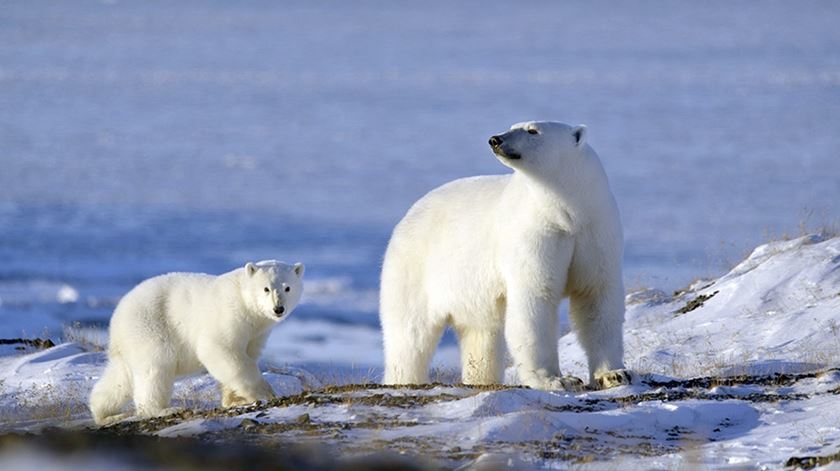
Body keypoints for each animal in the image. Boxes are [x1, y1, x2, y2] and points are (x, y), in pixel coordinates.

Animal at [380, 121, 632, 390]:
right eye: (513, 126)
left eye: (532, 130)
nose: (495, 139)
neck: (567, 214)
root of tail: (409, 214)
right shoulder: (536, 234)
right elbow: (535, 300)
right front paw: (556, 379)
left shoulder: (594, 231)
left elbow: (595, 297)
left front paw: (614, 374)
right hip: (415, 270)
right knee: (410, 336)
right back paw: (404, 379)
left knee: (481, 335)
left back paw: (481, 379)